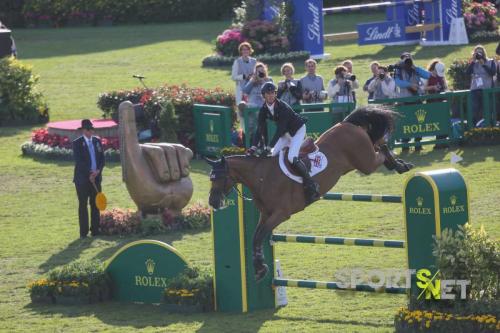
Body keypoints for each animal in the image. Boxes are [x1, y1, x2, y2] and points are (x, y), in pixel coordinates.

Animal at [205, 105, 412, 282]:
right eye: (210, 178)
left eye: (219, 178)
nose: (213, 203)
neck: (262, 177)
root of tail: (345, 123)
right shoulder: (265, 214)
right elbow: (256, 237)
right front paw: (260, 268)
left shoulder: (281, 214)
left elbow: (260, 235)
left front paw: (260, 268)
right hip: (364, 157)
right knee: (379, 145)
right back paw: (399, 164)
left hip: (365, 162)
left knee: (381, 149)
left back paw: (401, 165)